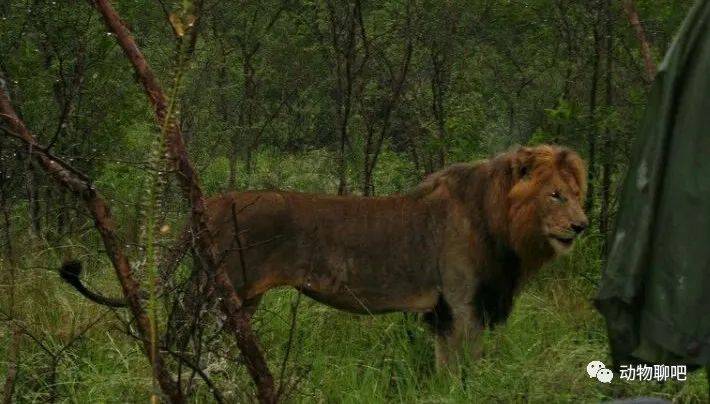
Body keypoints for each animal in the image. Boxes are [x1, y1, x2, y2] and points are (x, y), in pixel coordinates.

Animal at [59, 144, 588, 366]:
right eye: (555, 195)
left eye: (579, 194)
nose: (582, 226)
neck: (500, 223)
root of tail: (212, 201)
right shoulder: (461, 305)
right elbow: (467, 369)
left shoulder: (443, 313)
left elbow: (444, 368)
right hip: (214, 289)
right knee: (180, 332)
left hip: (239, 297)